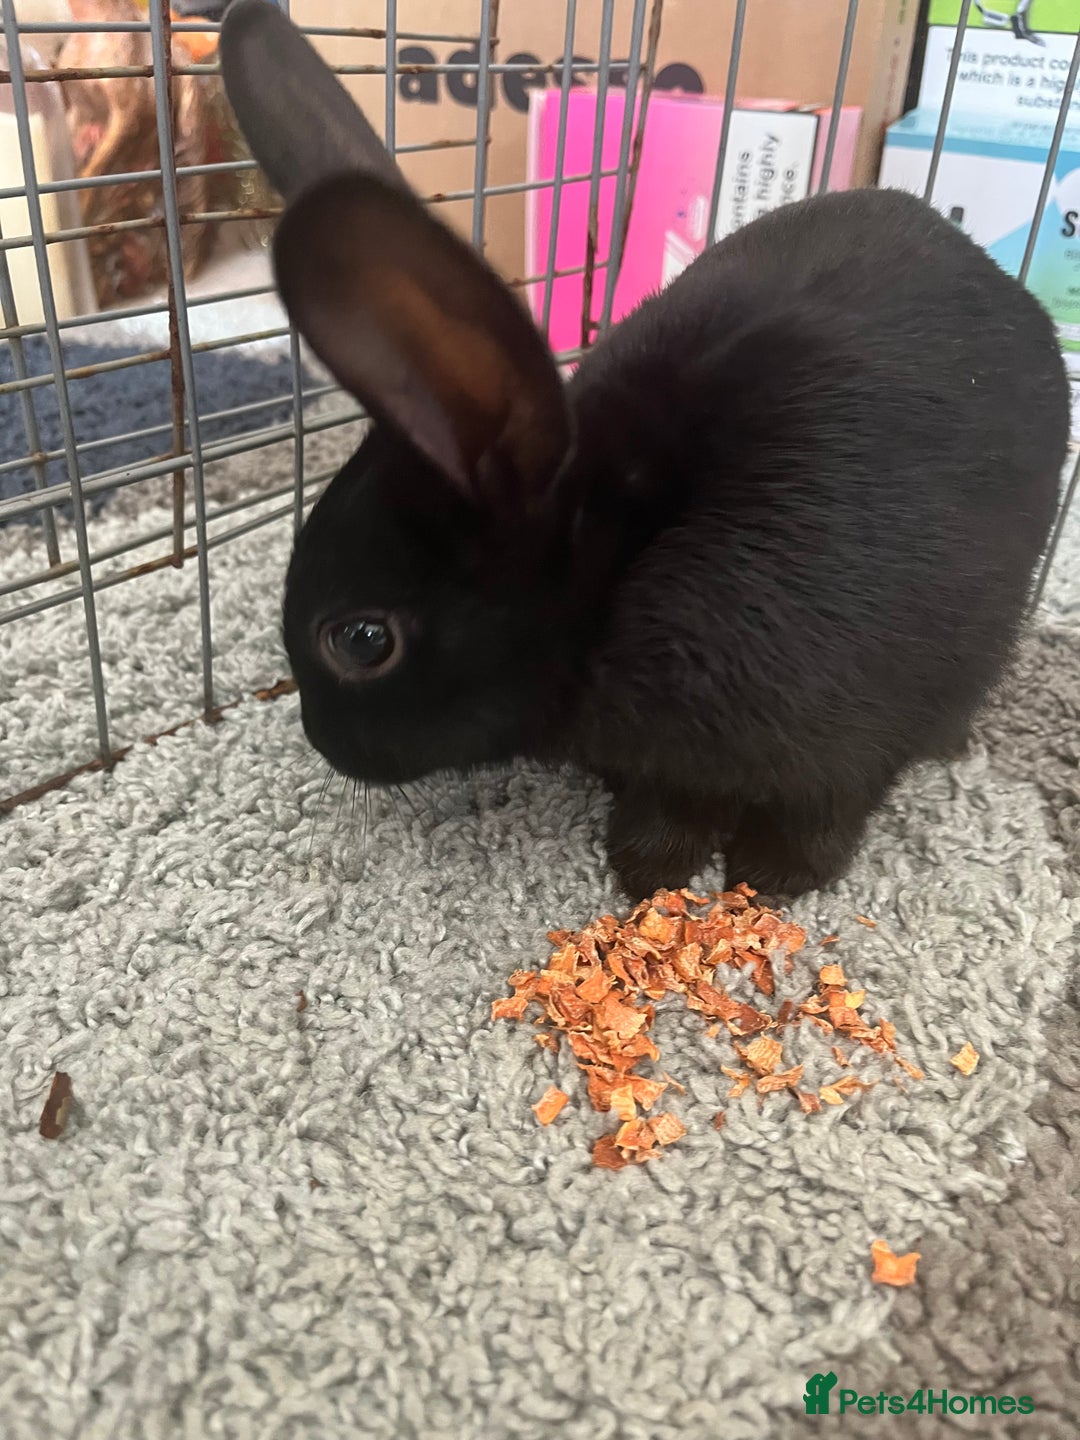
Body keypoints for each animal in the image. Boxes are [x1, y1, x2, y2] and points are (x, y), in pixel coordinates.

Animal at [220, 0, 1068, 900]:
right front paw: (652, 866)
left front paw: (764, 876)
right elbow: (677, 798)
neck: (622, 560)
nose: (322, 740)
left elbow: (828, 804)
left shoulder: (856, 728)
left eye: (361, 642)